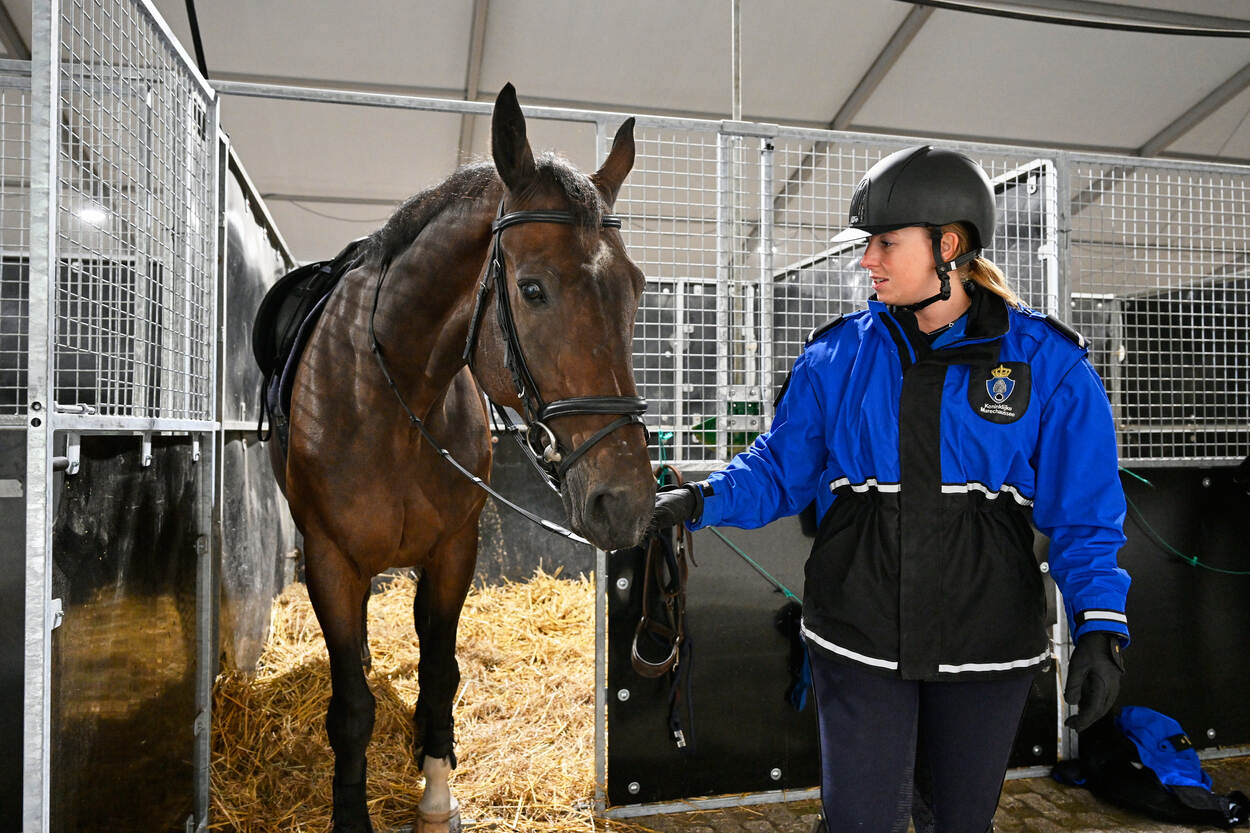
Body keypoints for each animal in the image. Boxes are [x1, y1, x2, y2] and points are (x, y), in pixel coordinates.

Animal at [270, 85, 660, 830]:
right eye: (532, 289)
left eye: (636, 288)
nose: (624, 501)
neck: (389, 400)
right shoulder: (330, 559)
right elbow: (351, 705)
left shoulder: (454, 550)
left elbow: (441, 671)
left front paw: (435, 795)